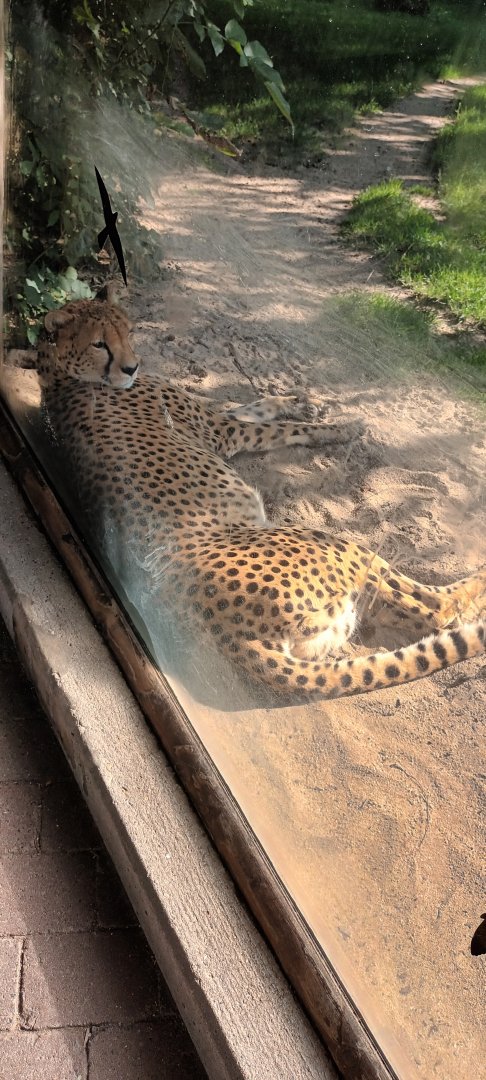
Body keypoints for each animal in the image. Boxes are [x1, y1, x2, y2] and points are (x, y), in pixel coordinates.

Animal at [34, 292, 485, 701]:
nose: (132, 366)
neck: (60, 376)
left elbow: (257, 404)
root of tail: (232, 634)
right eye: (99, 343)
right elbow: (280, 428)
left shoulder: (220, 420)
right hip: (332, 543)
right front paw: (342, 427)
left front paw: (296, 399)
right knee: (440, 610)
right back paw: (476, 583)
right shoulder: (221, 431)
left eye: (127, 331)